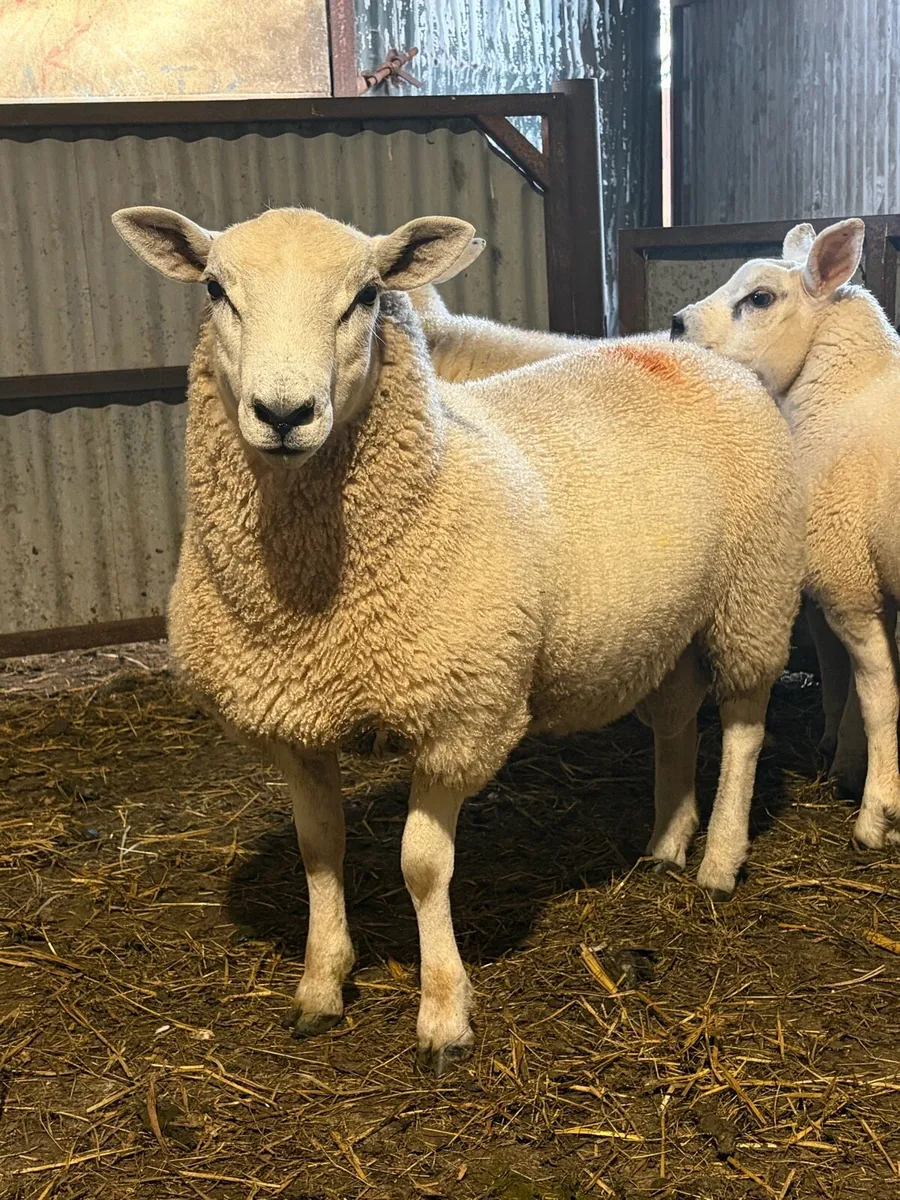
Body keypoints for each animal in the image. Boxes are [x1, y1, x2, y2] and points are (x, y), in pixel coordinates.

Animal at [112, 204, 804, 1073]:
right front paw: (320, 984)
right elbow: (319, 847)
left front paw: (443, 1013)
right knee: (678, 720)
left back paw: (719, 860)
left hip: (755, 591)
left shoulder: (460, 717)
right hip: (668, 620)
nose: (283, 415)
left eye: (367, 296)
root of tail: (686, 352)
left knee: (744, 726)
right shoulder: (292, 721)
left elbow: (421, 866)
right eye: (214, 289)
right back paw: (666, 842)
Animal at [673, 218, 900, 851]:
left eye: (760, 299)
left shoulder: (850, 580)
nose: (675, 324)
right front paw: (845, 760)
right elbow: (844, 678)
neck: (841, 395)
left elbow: (878, 696)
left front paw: (878, 813)